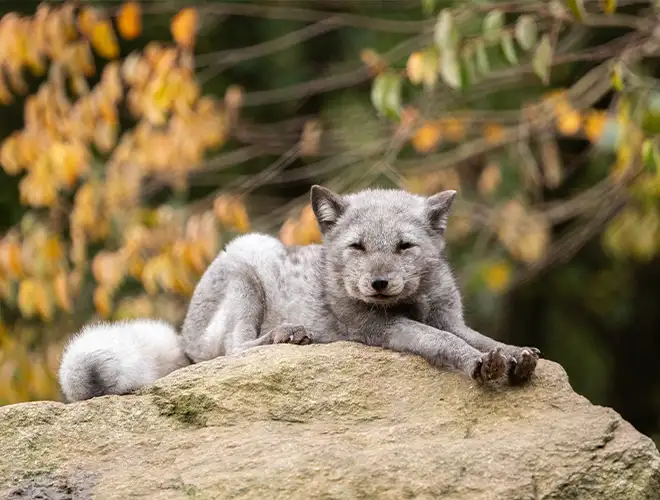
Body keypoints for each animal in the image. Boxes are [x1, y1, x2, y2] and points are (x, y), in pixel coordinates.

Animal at [58, 185, 540, 402]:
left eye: (405, 246)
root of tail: (183, 336)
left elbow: (481, 338)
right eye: (358, 247)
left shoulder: (451, 318)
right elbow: (444, 343)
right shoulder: (380, 329)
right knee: (233, 350)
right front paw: (480, 364)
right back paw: (284, 335)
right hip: (249, 265)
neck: (414, 302)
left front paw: (513, 354)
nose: (378, 284)